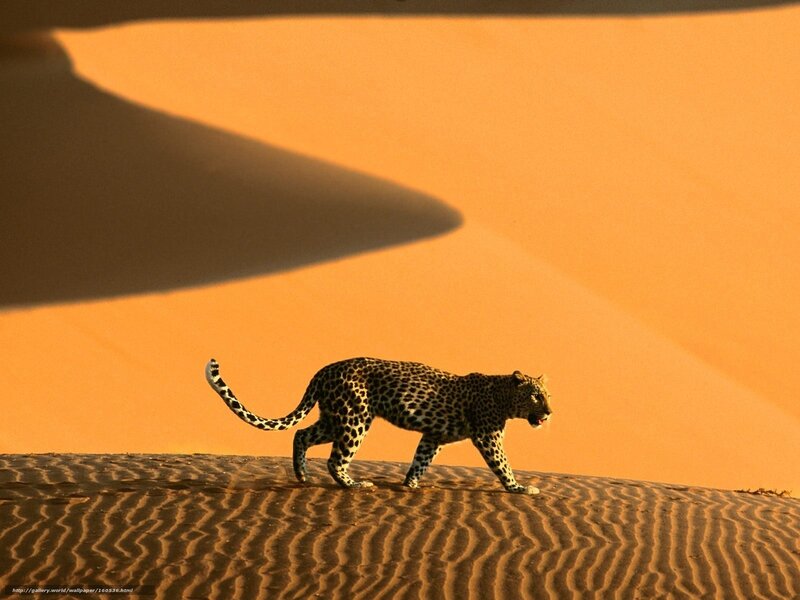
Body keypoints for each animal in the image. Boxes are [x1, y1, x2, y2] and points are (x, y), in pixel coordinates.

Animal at [205, 357, 552, 494]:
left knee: (301, 435)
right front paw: (519, 488)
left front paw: (410, 484)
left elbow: (421, 459)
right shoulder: (488, 436)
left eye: (548, 395)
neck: (504, 397)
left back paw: (302, 476)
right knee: (335, 459)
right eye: (536, 396)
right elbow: (502, 464)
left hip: (334, 418)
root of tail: (323, 370)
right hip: (355, 419)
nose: (549, 413)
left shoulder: (434, 435)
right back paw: (355, 484)